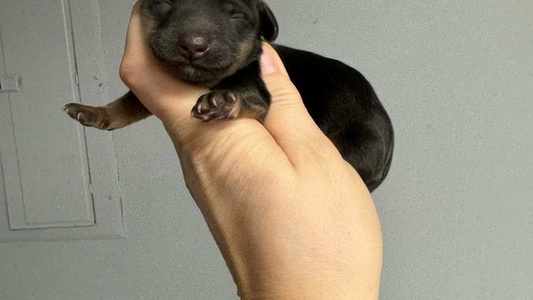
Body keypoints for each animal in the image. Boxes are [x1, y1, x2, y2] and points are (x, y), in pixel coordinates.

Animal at [64, 0, 392, 191]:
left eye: (235, 15)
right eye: (166, 3)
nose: (193, 43)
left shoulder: (254, 87)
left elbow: (245, 98)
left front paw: (221, 101)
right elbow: (129, 102)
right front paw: (95, 111)